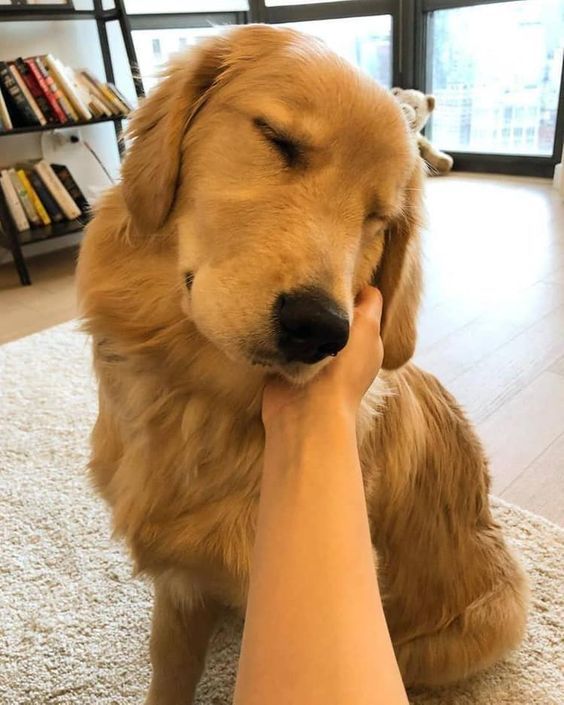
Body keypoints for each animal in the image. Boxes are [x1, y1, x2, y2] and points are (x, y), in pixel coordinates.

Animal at [78, 24, 528, 704]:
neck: (194, 394)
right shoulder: (181, 588)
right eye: (278, 140)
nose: (320, 330)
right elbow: (169, 674)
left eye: (379, 218)